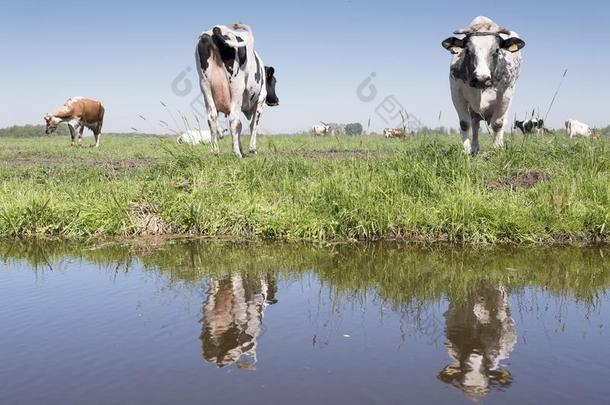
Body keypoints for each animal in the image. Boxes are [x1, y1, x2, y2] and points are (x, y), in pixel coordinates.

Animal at [196, 21, 280, 158]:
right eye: (274, 81)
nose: (276, 100)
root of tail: (216, 28)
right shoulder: (260, 101)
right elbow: (253, 125)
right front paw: (251, 149)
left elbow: (240, 127)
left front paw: (239, 148)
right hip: (236, 86)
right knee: (233, 119)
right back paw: (237, 154)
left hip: (205, 84)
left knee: (212, 117)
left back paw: (215, 152)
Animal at [440, 17, 524, 153]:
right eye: (467, 50)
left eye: (497, 50)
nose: (481, 78)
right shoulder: (456, 93)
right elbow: (465, 124)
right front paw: (466, 150)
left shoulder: (506, 94)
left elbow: (498, 123)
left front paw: (497, 149)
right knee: (475, 125)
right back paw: (475, 148)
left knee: (502, 123)